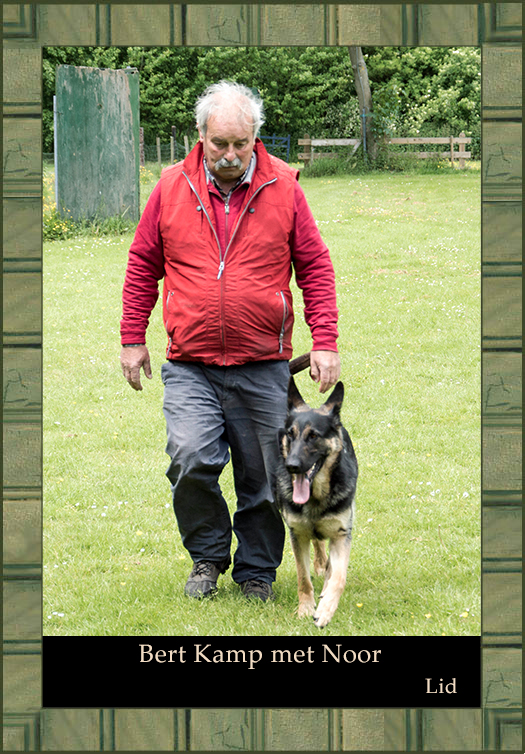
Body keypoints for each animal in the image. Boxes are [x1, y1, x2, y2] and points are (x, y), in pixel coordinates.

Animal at [275, 377, 358, 628]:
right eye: (290, 434)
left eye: (313, 436)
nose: (292, 466)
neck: (316, 497)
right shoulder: (297, 534)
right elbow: (303, 578)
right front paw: (305, 609)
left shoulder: (342, 535)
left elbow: (339, 578)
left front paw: (325, 610)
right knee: (318, 542)